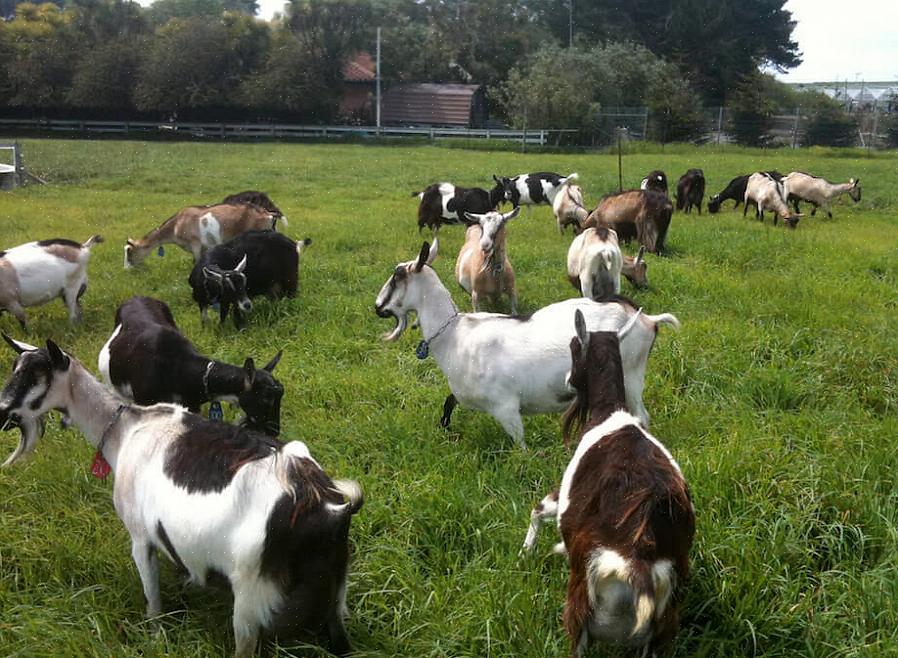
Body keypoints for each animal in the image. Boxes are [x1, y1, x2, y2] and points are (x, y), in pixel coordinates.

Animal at [0, 336, 364, 656]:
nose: (3, 411)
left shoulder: (140, 537)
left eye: (38, 376)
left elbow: (152, 598)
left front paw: (155, 637)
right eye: (14, 368)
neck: (126, 430)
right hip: (335, 595)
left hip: (250, 597)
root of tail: (329, 507)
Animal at [124, 204, 280, 268]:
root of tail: (267, 214)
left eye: (129, 251)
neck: (176, 225)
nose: (127, 269)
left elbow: (197, 261)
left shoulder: (195, 244)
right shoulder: (205, 246)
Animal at [372, 238, 680, 448]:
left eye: (397, 276)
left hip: (631, 377)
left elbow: (521, 447)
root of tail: (647, 319)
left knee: (641, 416)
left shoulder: (506, 406)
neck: (455, 335)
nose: (377, 307)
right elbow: (448, 405)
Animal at [520, 308, 692, 656]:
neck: (610, 415)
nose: (567, 381)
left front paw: (526, 551)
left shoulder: (565, 494)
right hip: (659, 629)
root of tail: (637, 564)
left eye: (574, 346)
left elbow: (539, 508)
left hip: (580, 606)